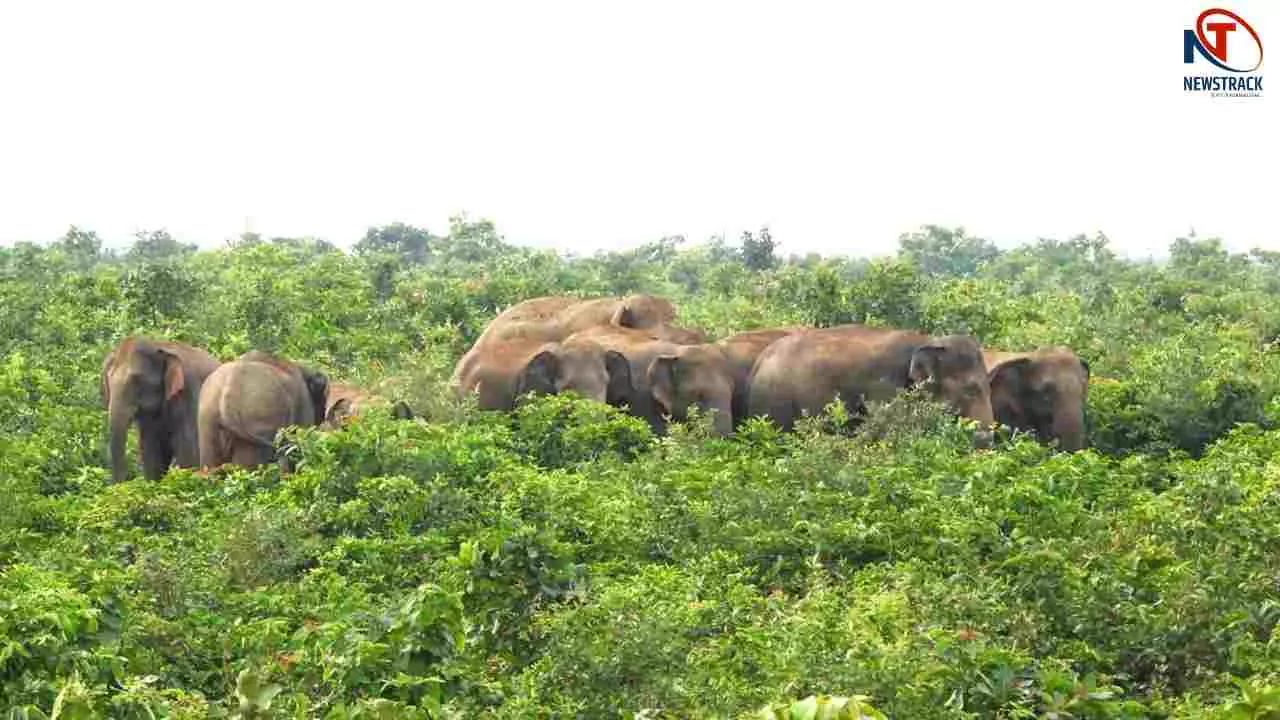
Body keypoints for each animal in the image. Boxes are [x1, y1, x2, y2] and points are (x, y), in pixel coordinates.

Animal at [101, 336, 222, 482]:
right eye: (108, 378)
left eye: (137, 379)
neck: (158, 346)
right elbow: (151, 453)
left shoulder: (191, 392)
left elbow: (189, 452)